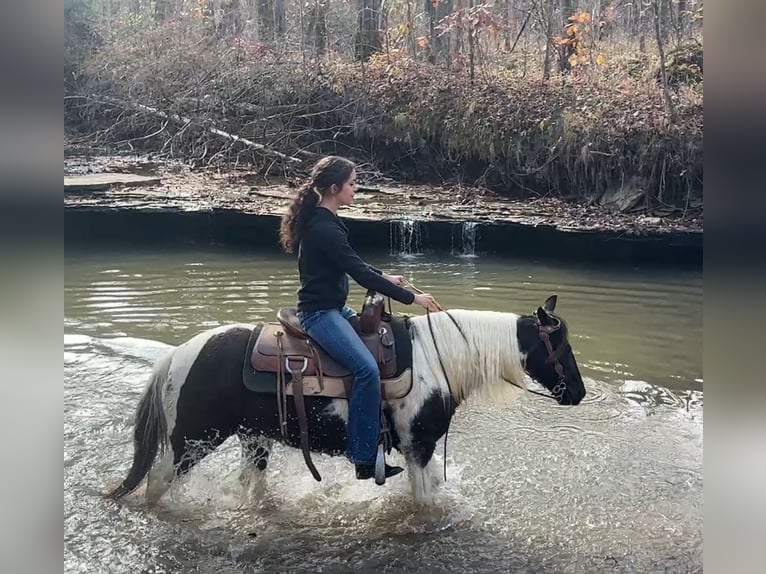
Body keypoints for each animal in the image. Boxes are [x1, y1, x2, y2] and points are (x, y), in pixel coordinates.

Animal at [106, 295, 586, 504]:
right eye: (560, 344)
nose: (579, 393)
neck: (438, 359)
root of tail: (176, 355)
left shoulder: (419, 451)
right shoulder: (418, 447)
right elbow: (424, 504)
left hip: (253, 440)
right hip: (194, 441)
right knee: (157, 485)